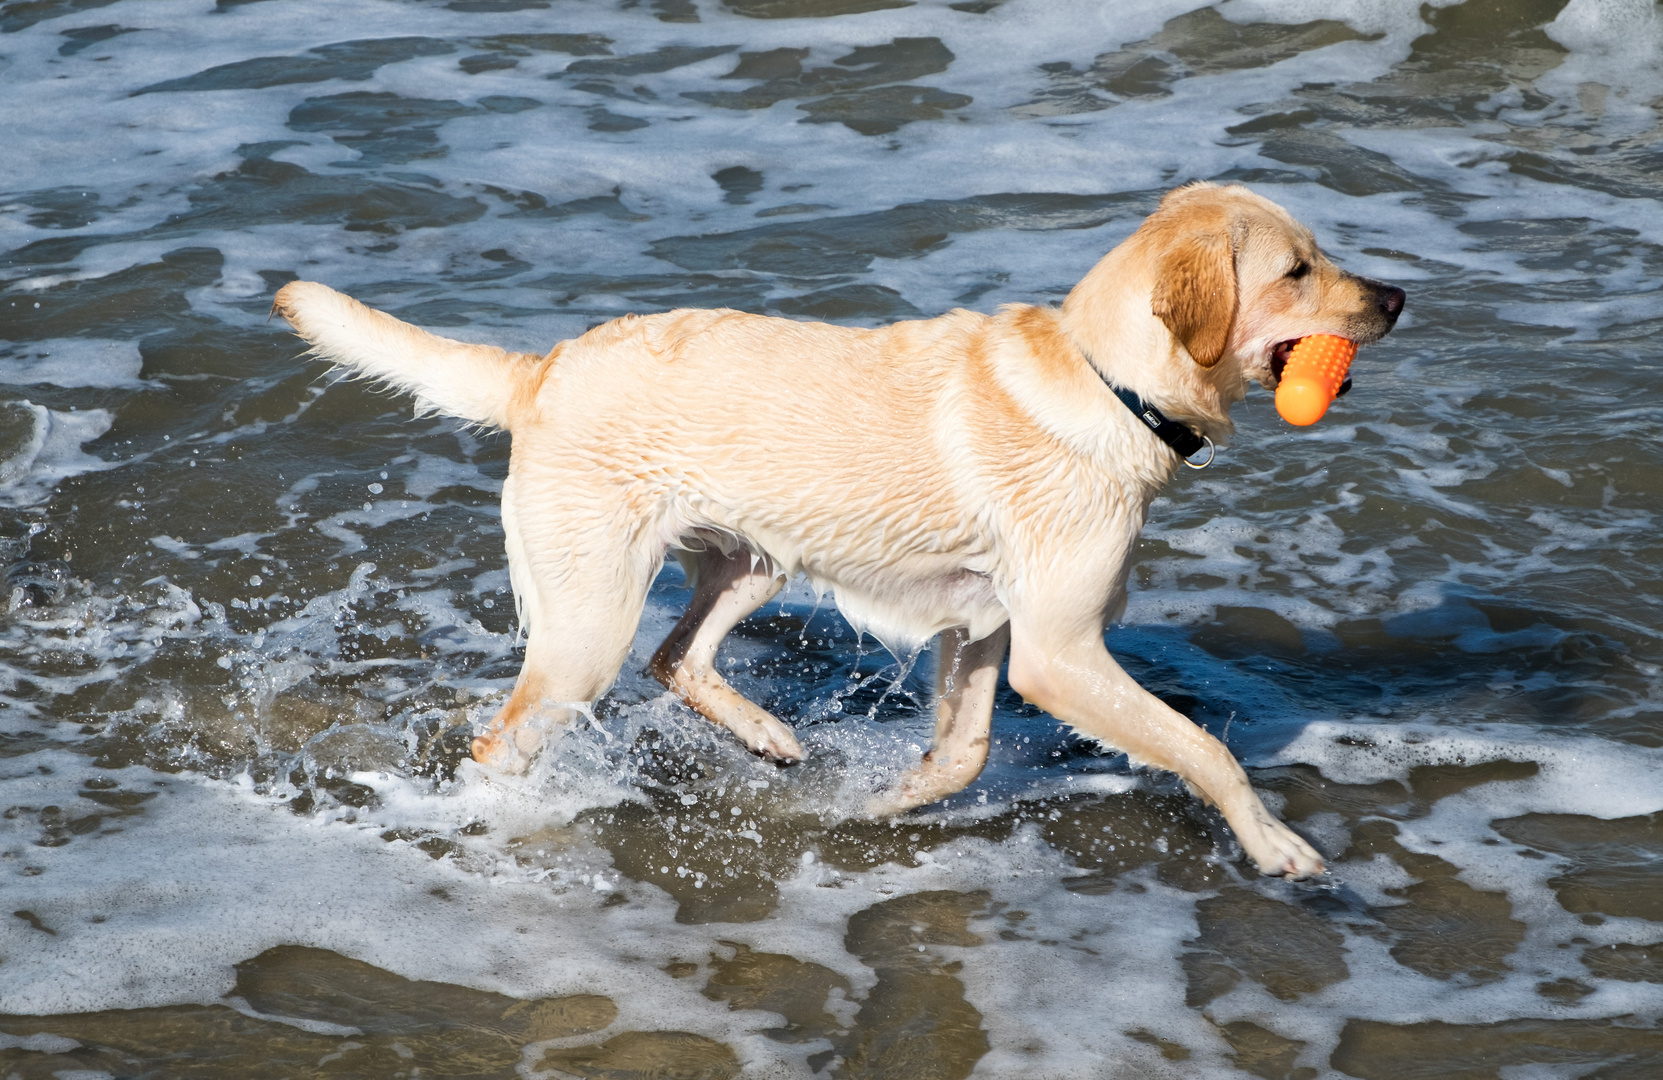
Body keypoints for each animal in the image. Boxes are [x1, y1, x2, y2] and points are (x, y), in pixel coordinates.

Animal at [272, 183, 1403, 878]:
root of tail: (541, 368)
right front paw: (1275, 846)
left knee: (676, 657)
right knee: (507, 735)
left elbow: (960, 756)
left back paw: (769, 739)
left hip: (753, 562)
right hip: (588, 619)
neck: (1107, 382)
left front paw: (871, 810)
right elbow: (1204, 751)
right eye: (1298, 270)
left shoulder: (984, 628)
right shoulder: (1058, 651)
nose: (1396, 295)